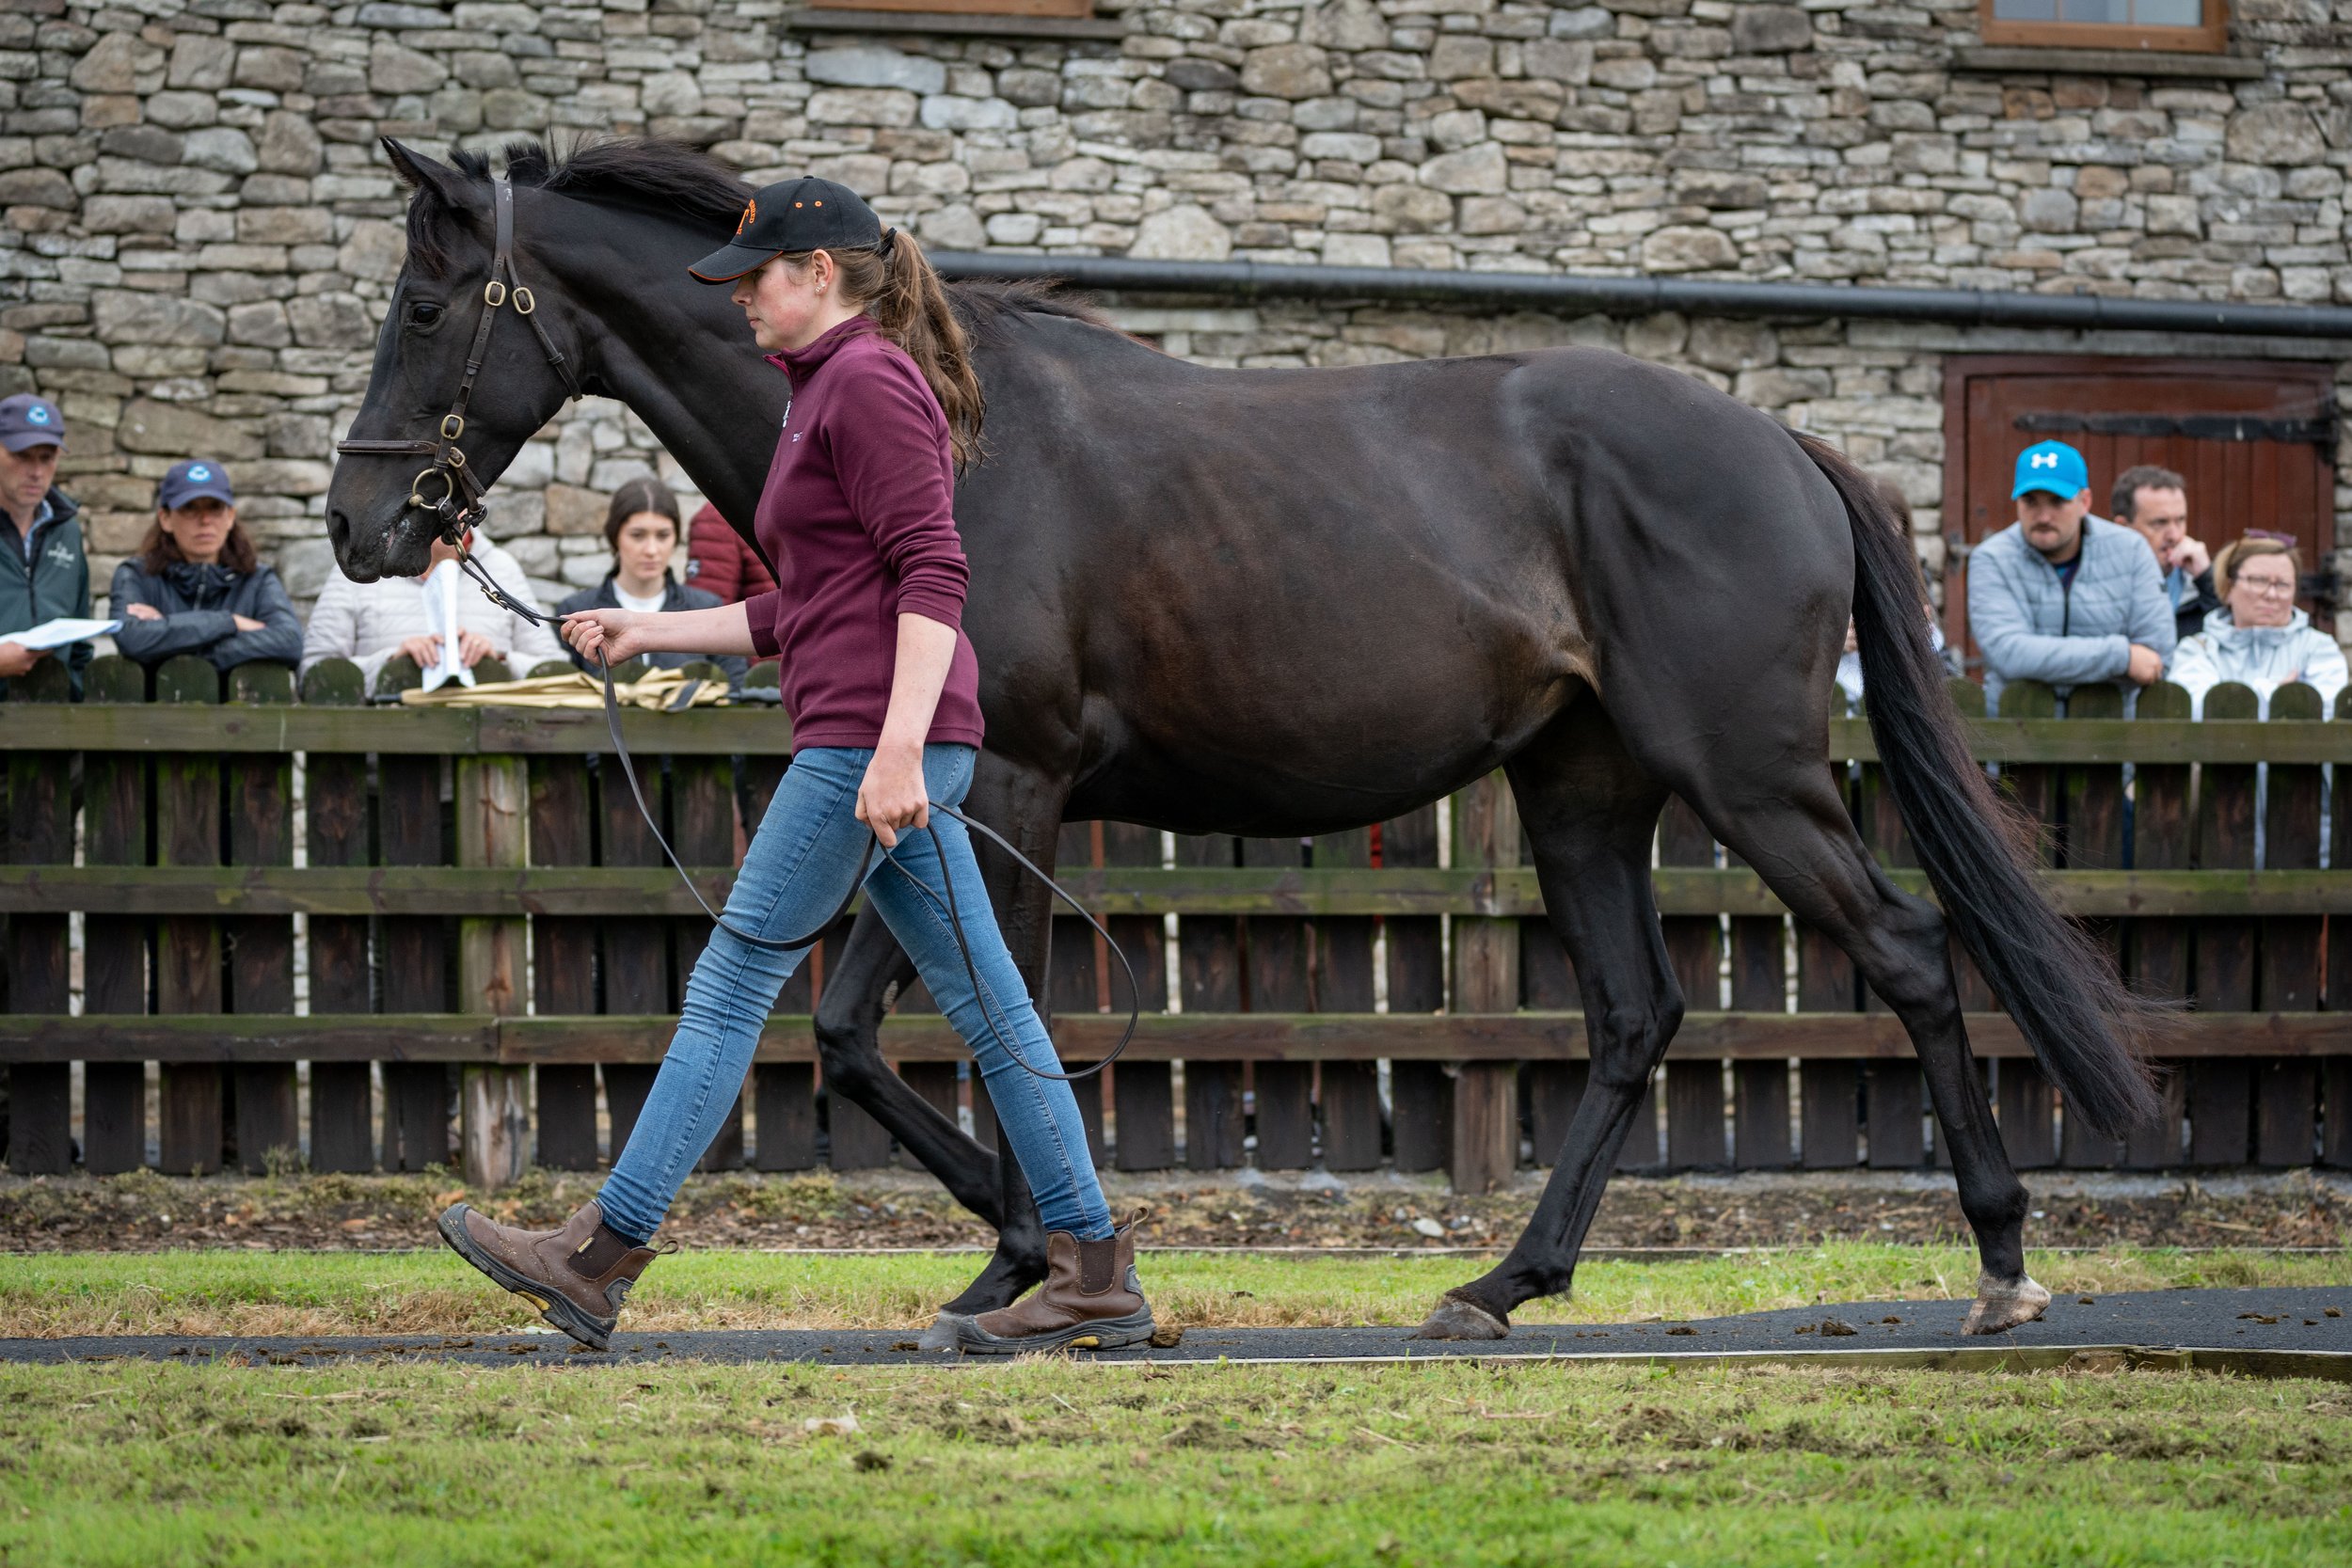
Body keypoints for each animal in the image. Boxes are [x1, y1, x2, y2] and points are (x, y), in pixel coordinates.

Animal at [326, 137, 2154, 1335]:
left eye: (423, 304)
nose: (359, 526)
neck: (956, 432)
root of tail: (1782, 446)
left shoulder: (1007, 783)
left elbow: (951, 1019)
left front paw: (1039, 1260)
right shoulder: (933, 801)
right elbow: (878, 1030)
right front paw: (1025, 1254)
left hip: (1751, 778)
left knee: (1907, 956)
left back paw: (2001, 1266)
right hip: (1579, 787)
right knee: (1636, 1014)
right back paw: (1504, 1283)